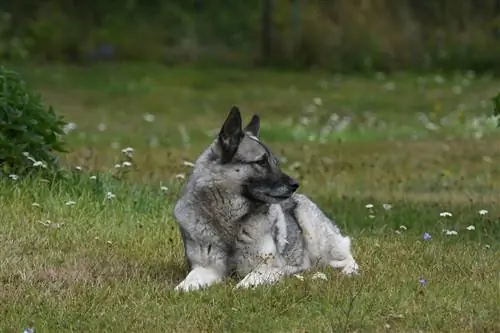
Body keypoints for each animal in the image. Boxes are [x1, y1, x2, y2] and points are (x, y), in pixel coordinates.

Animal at [174, 106, 358, 290]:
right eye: (261, 162)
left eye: (275, 163)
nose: (295, 184)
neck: (230, 222)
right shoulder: (205, 269)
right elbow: (183, 287)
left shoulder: (267, 268)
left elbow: (242, 285)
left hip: (316, 235)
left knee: (346, 260)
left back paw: (344, 272)